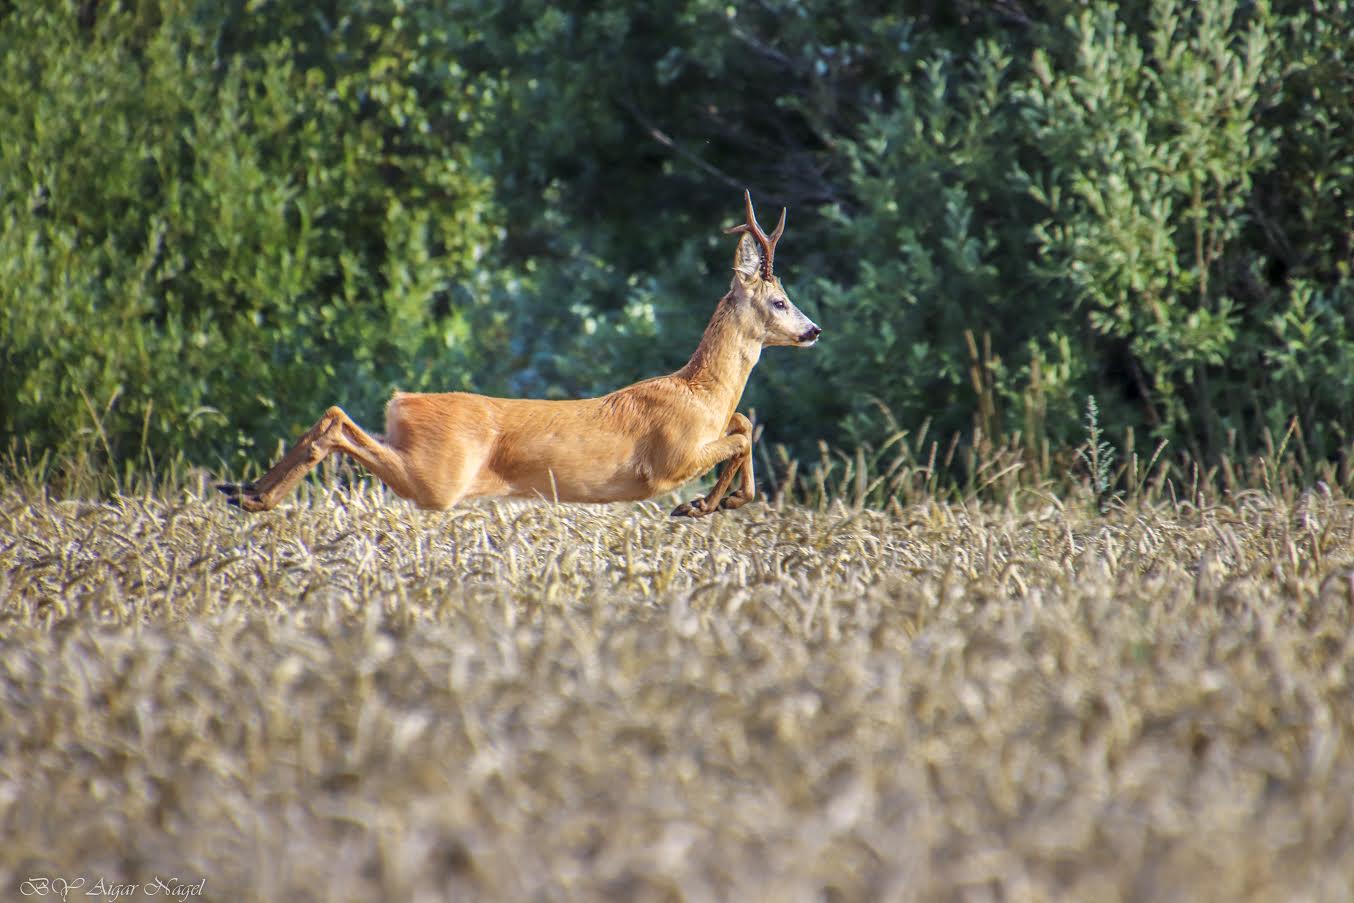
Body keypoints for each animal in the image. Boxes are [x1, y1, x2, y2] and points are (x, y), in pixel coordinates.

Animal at [216, 189, 817, 514]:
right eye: (781, 300)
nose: (813, 330)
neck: (700, 392)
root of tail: (402, 400)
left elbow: (743, 426)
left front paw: (713, 504)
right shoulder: (668, 459)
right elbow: (739, 436)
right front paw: (702, 504)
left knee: (333, 416)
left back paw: (244, 491)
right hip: (438, 476)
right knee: (339, 422)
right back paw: (254, 496)